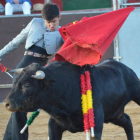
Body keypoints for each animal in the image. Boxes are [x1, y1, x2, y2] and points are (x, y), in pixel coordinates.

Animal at [2, 59, 140, 140]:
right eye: (15, 81)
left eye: (27, 85)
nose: (7, 104)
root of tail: (126, 68)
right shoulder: (54, 124)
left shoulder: (96, 126)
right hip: (114, 115)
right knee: (127, 121)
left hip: (135, 95)